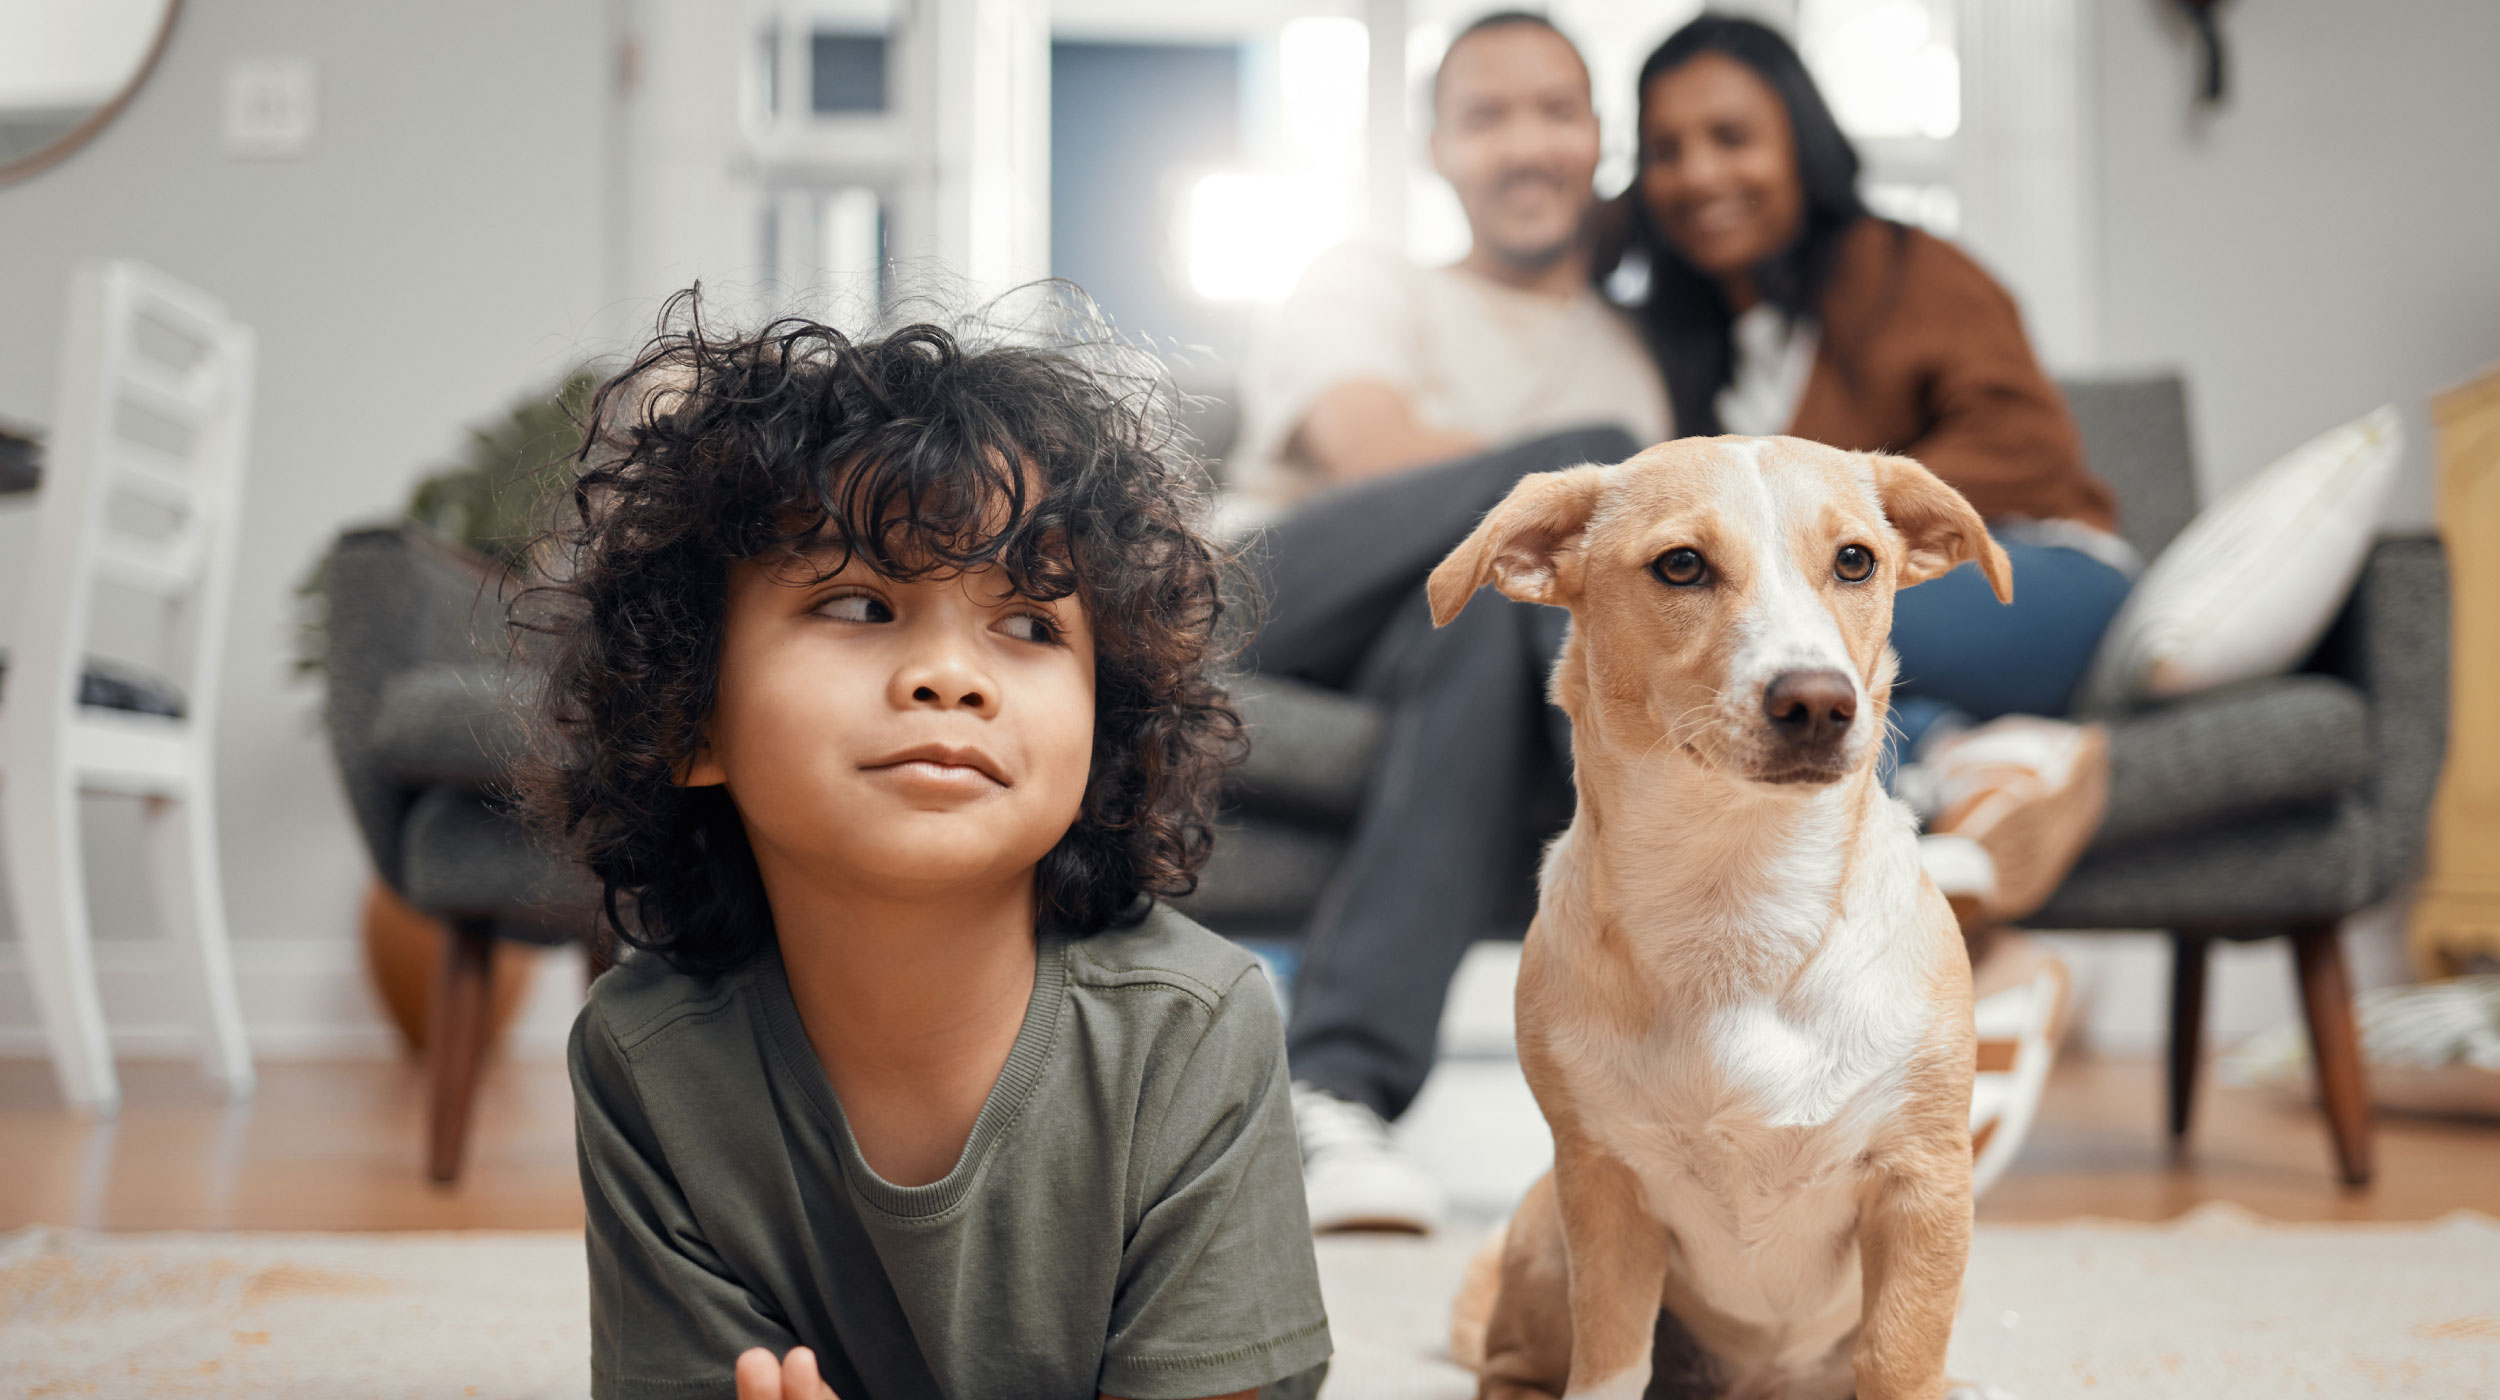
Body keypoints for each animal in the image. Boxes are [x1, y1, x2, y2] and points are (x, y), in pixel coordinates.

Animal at [1440, 437, 2000, 1400]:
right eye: (1681, 566)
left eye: (1856, 560)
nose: (1818, 702)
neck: (1737, 898)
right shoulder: (1602, 1184)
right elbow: (1607, 1366)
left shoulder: (1924, 1184)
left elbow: (1898, 1358)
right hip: (1547, 1234)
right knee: (1509, 1366)